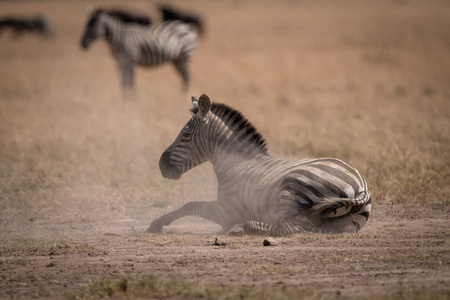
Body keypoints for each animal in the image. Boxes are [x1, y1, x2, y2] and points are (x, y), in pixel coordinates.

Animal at [149, 95, 370, 236]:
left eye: (186, 133)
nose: (161, 165)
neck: (238, 162)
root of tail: (361, 186)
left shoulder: (226, 209)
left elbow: (190, 205)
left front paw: (157, 223)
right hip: (337, 223)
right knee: (304, 226)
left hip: (292, 187)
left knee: (290, 227)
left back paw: (243, 227)